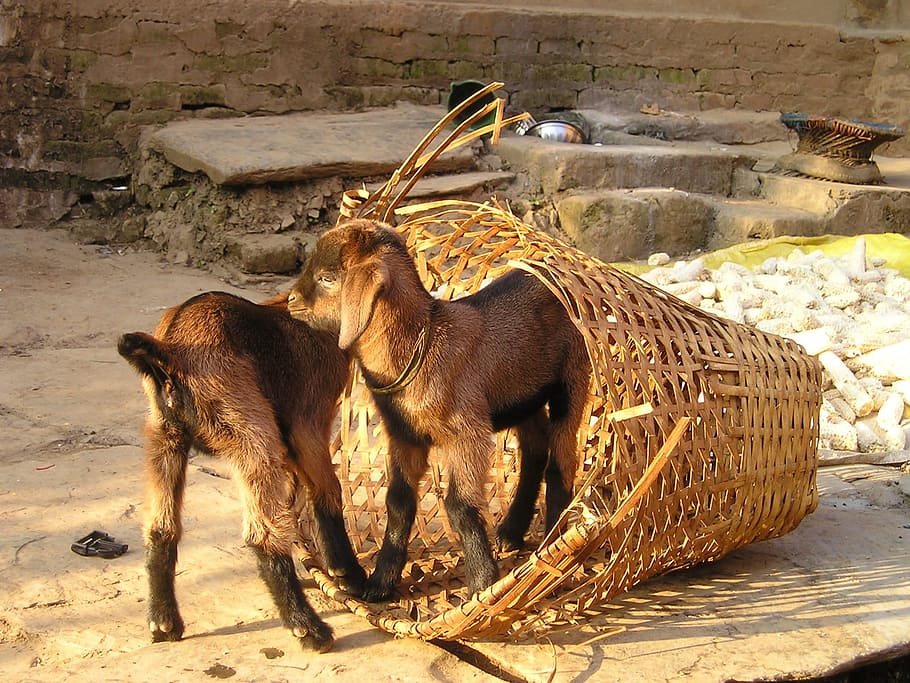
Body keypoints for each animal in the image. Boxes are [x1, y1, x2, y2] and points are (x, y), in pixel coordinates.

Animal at [118, 290, 365, 652]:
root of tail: (169, 350)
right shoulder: (308, 424)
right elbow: (327, 491)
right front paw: (347, 574)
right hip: (251, 433)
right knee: (261, 535)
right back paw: (308, 629)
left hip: (164, 438)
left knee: (161, 527)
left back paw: (164, 623)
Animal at [287, 219, 591, 601]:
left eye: (328, 278)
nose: (291, 300)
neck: (425, 342)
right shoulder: (405, 437)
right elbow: (398, 503)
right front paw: (380, 582)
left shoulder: (467, 434)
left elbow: (460, 506)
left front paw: (482, 584)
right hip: (524, 395)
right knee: (535, 451)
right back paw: (511, 532)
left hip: (572, 380)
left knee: (561, 461)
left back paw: (552, 545)